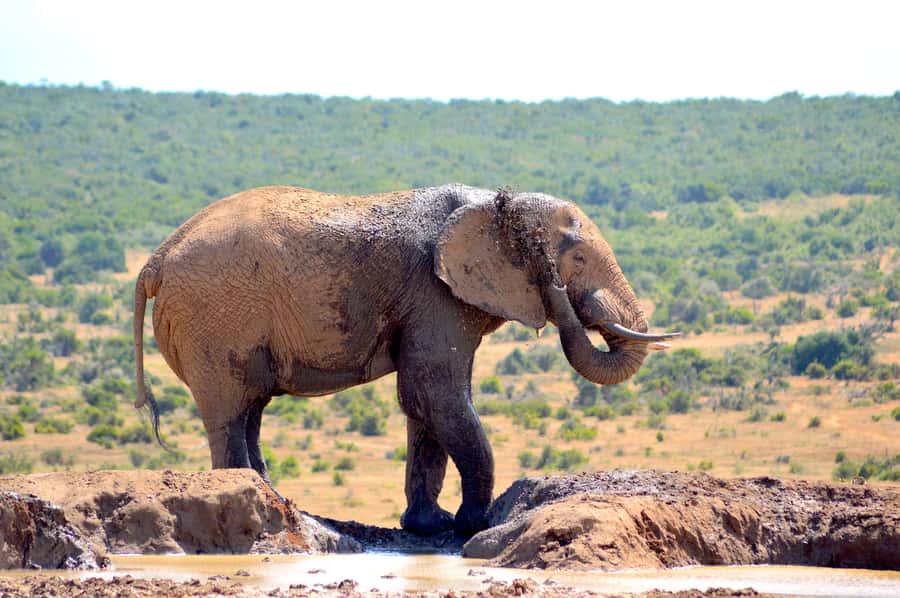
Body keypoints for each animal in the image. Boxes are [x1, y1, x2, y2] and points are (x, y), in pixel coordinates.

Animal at [133, 184, 677, 536]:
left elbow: (423, 401)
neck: (497, 203)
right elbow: (436, 392)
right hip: (214, 315)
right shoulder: (437, 294)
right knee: (231, 408)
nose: (559, 292)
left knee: (251, 407)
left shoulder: (438, 300)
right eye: (577, 260)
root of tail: (154, 261)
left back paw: (276, 499)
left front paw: (429, 526)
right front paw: (472, 524)